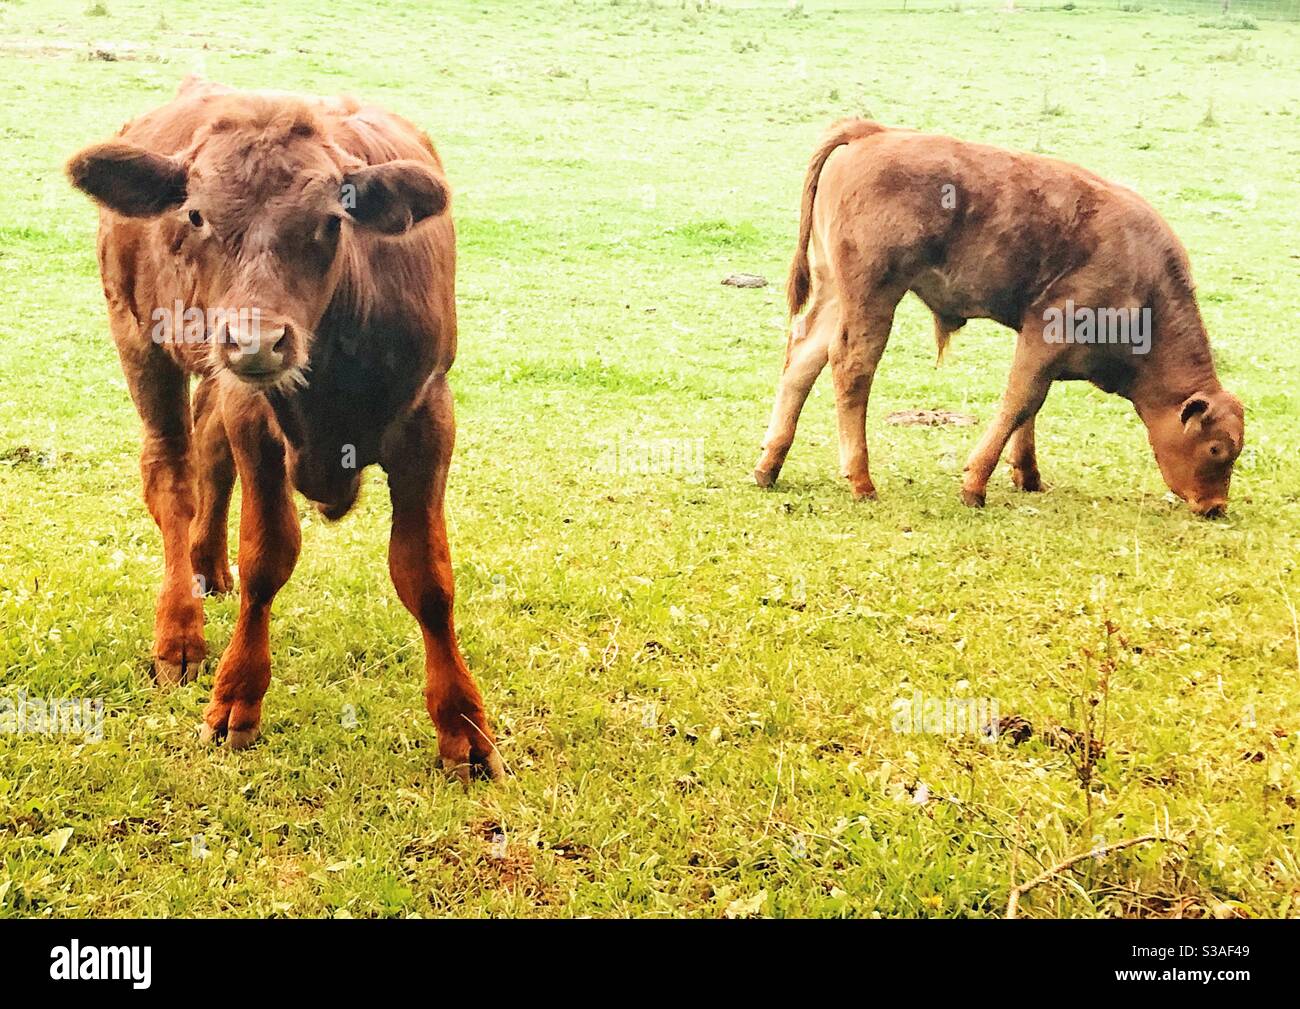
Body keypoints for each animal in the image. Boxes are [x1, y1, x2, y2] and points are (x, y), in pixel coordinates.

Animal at [67, 77, 502, 782]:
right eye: (196, 216)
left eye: (332, 220)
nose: (254, 340)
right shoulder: (254, 416)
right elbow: (267, 558)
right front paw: (235, 701)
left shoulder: (430, 416)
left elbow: (427, 577)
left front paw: (463, 728)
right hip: (140, 339)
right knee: (172, 477)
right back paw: (180, 632)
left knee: (207, 452)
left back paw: (207, 568)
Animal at [753, 119, 1245, 517]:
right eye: (1216, 449)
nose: (1215, 506)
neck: (1145, 281)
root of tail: (873, 132)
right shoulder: (1048, 332)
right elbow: (1019, 402)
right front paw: (975, 486)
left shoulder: (1038, 342)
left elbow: (1031, 406)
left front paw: (1027, 475)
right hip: (873, 296)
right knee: (852, 367)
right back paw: (861, 481)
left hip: (835, 293)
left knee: (803, 358)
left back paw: (768, 466)